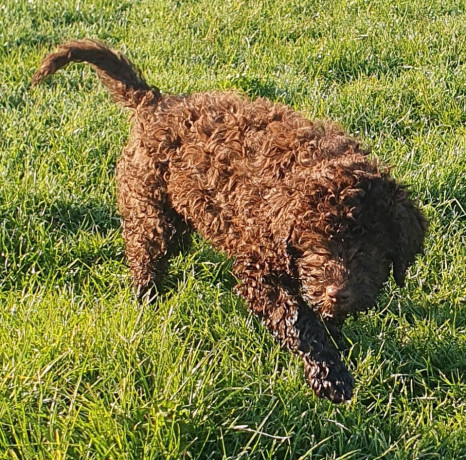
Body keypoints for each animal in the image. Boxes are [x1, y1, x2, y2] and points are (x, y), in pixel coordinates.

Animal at [31, 41, 426, 404]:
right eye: (315, 243)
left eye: (370, 246)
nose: (338, 292)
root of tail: (157, 102)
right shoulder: (258, 271)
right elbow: (299, 321)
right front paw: (331, 376)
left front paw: (336, 341)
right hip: (152, 210)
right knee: (146, 256)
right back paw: (148, 300)